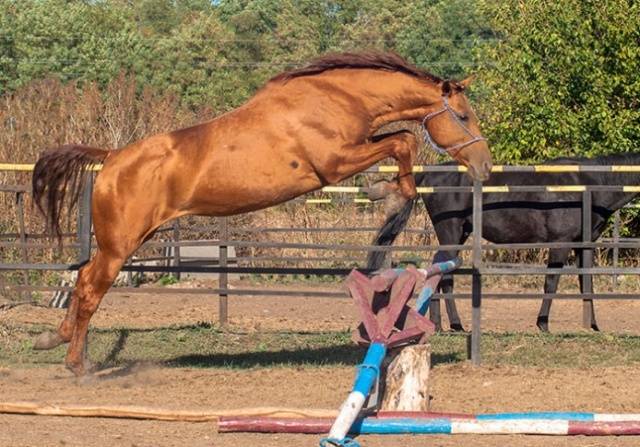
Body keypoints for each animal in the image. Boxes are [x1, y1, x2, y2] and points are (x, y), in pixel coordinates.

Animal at [30, 50, 492, 376]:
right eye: (464, 116)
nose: (485, 166)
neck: (337, 98)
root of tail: (110, 159)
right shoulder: (335, 163)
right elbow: (403, 142)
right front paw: (388, 196)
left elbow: (401, 140)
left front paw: (386, 194)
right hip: (120, 245)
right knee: (91, 286)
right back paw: (76, 364)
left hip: (130, 239)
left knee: (83, 279)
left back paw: (53, 339)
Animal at [364, 154, 640, 332]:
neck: (587, 184)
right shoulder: (560, 244)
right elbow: (551, 282)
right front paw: (543, 324)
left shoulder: (584, 245)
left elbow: (587, 282)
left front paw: (592, 326)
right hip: (450, 233)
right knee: (444, 274)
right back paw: (453, 325)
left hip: (459, 234)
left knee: (441, 272)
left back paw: (445, 325)